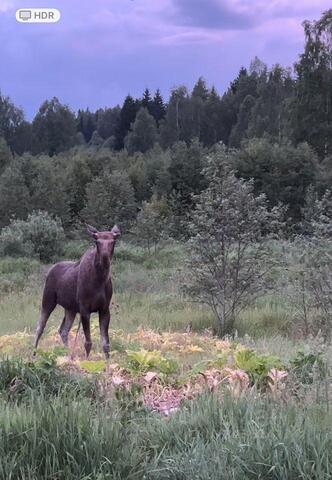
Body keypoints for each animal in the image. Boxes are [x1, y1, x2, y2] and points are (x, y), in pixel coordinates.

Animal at [33, 224, 120, 356]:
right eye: (97, 241)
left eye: (113, 241)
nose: (105, 258)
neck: (100, 279)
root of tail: (49, 270)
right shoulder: (84, 309)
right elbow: (88, 343)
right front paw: (86, 360)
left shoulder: (104, 309)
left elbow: (106, 345)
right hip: (48, 300)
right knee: (40, 327)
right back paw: (33, 354)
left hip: (70, 309)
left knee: (63, 330)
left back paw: (68, 355)